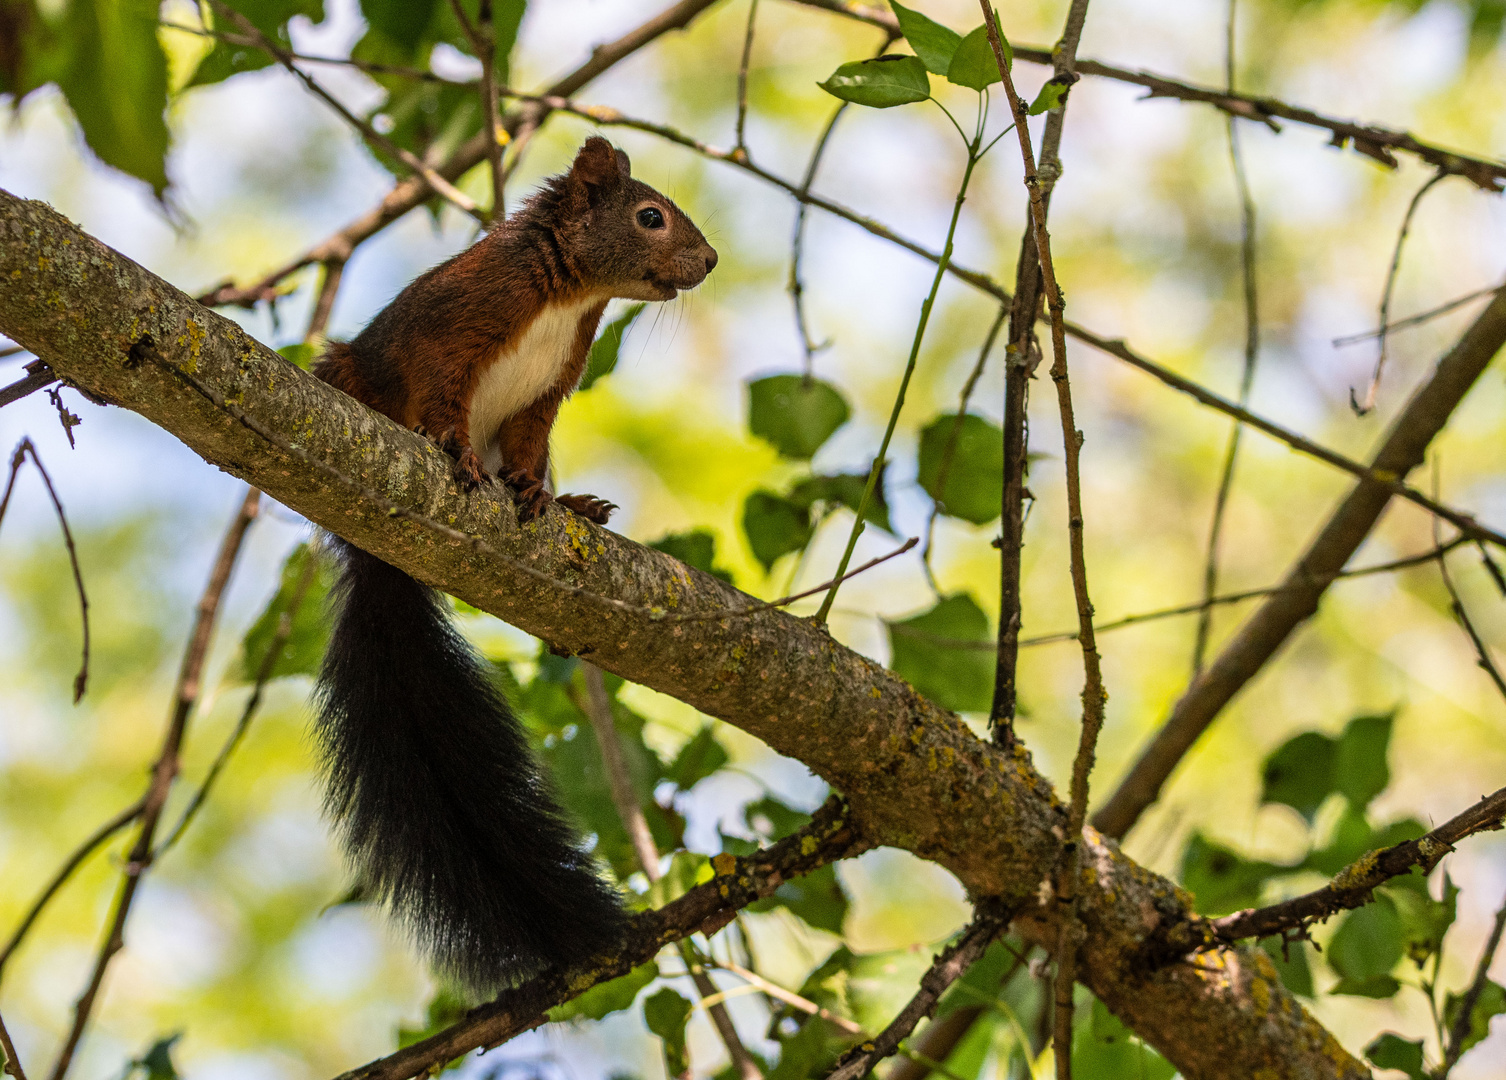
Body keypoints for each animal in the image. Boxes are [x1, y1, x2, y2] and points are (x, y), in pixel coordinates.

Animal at [307, 137, 716, 994]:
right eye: (649, 216)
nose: (709, 260)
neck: (570, 296)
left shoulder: (547, 393)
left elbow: (528, 446)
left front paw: (543, 495)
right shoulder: (451, 329)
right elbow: (442, 395)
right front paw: (457, 456)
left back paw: (575, 505)